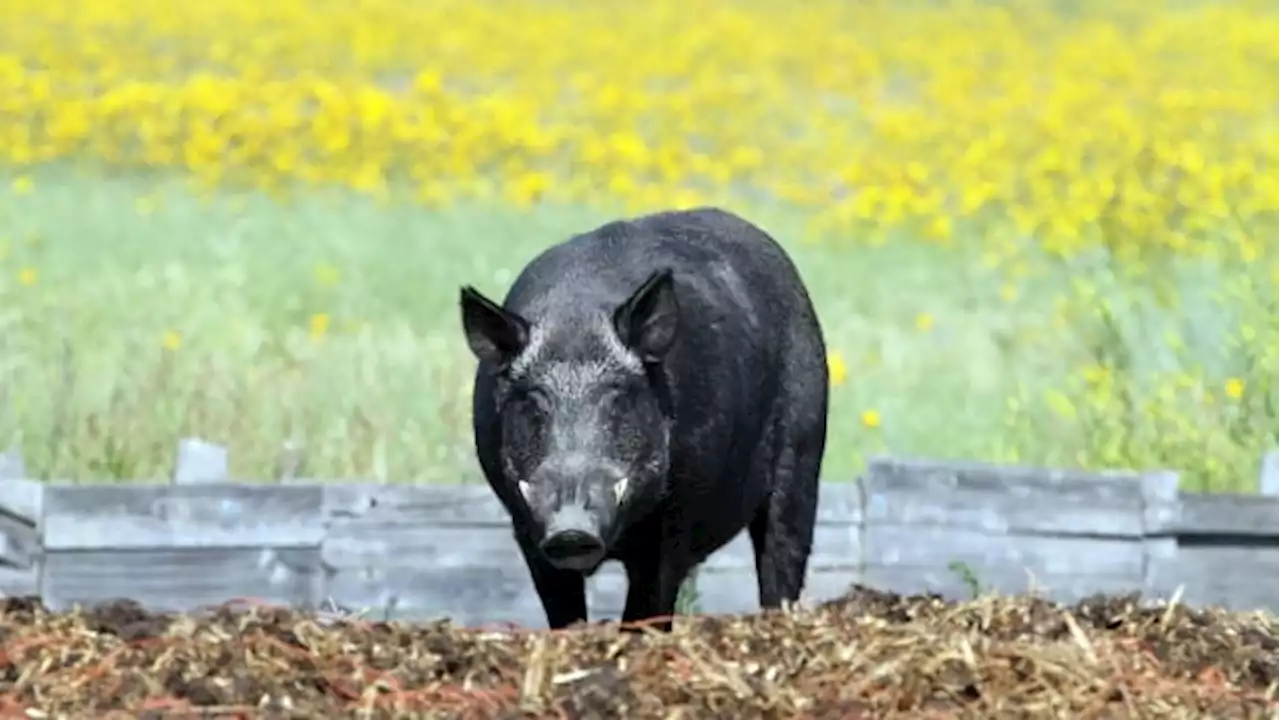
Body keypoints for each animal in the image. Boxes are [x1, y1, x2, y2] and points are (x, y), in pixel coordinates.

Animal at [460, 206, 829, 627]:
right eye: (534, 402)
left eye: (617, 397)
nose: (571, 530)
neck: (576, 321)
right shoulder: (524, 523)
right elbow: (563, 611)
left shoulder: (677, 514)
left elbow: (647, 604)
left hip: (804, 450)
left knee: (782, 552)